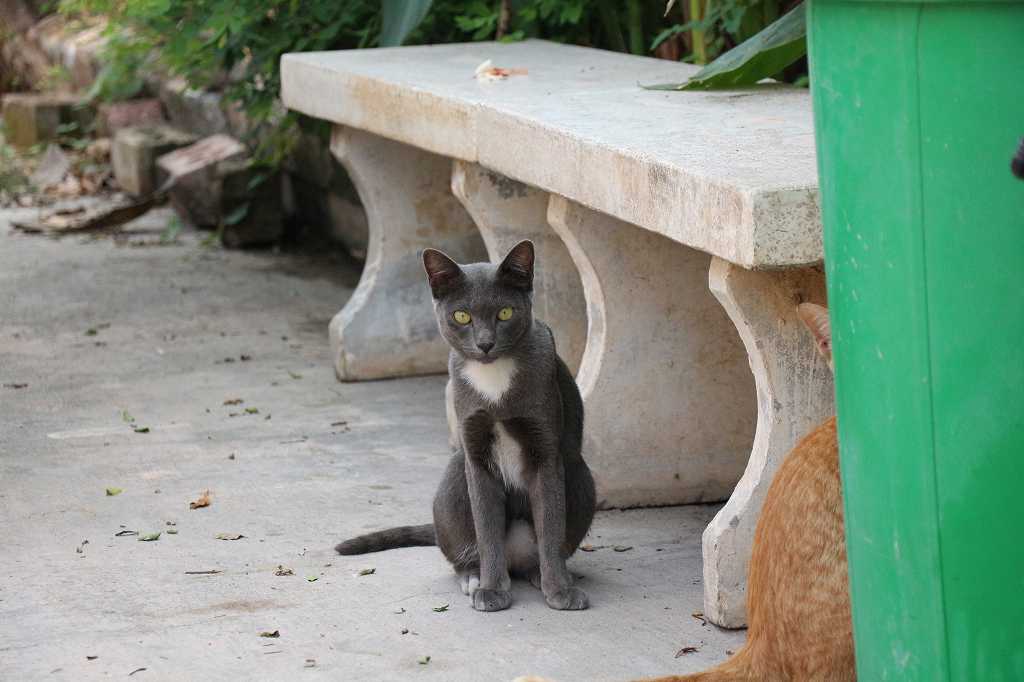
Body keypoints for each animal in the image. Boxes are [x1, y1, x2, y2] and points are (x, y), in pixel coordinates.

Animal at [336, 240, 597, 612]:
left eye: (505, 313)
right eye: (462, 316)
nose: (485, 343)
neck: (494, 381)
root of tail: (516, 558)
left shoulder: (546, 452)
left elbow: (550, 523)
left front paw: (559, 590)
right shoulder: (475, 454)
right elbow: (486, 526)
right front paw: (491, 589)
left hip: (579, 475)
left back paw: (541, 572)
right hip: (452, 479)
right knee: (464, 545)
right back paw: (473, 577)